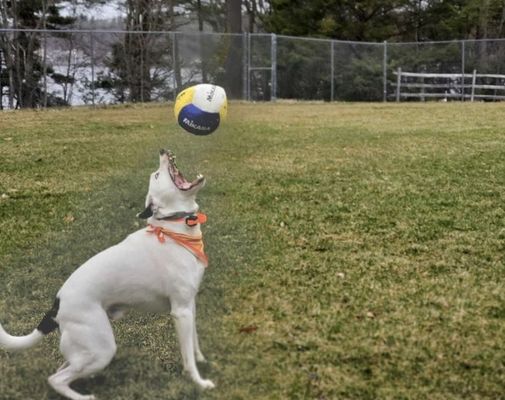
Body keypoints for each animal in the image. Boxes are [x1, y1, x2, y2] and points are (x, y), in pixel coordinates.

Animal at [0, 149, 214, 400]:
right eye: (157, 175)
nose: (163, 150)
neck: (173, 229)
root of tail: (56, 305)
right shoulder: (180, 311)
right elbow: (188, 358)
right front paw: (199, 382)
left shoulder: (190, 305)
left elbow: (194, 343)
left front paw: (203, 360)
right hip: (101, 348)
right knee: (56, 378)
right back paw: (82, 396)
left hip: (87, 351)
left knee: (64, 368)